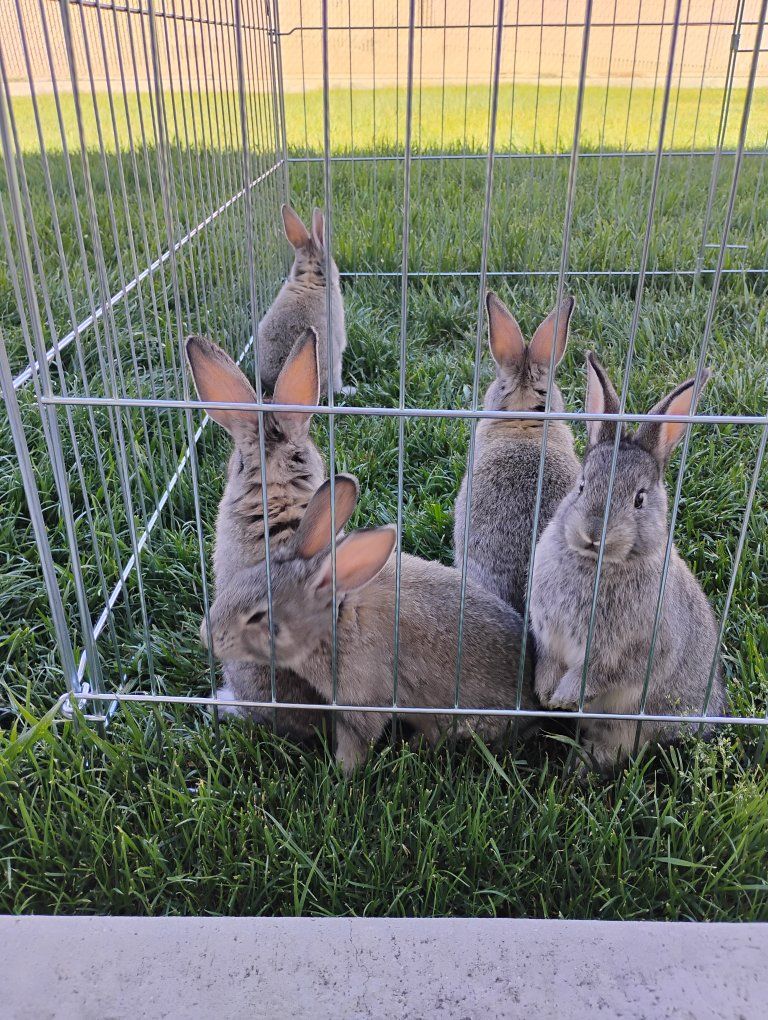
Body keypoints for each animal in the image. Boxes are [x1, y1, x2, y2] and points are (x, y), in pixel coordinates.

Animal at [201, 475, 536, 774]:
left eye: (258, 616)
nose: (207, 636)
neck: (334, 623)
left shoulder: (361, 701)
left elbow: (358, 742)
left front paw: (339, 775)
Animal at [530, 353, 726, 771]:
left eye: (639, 499)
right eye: (581, 485)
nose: (592, 533)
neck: (594, 563)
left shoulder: (629, 655)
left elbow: (597, 674)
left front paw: (563, 698)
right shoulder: (548, 635)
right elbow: (549, 661)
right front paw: (545, 694)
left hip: (634, 722)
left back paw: (582, 766)